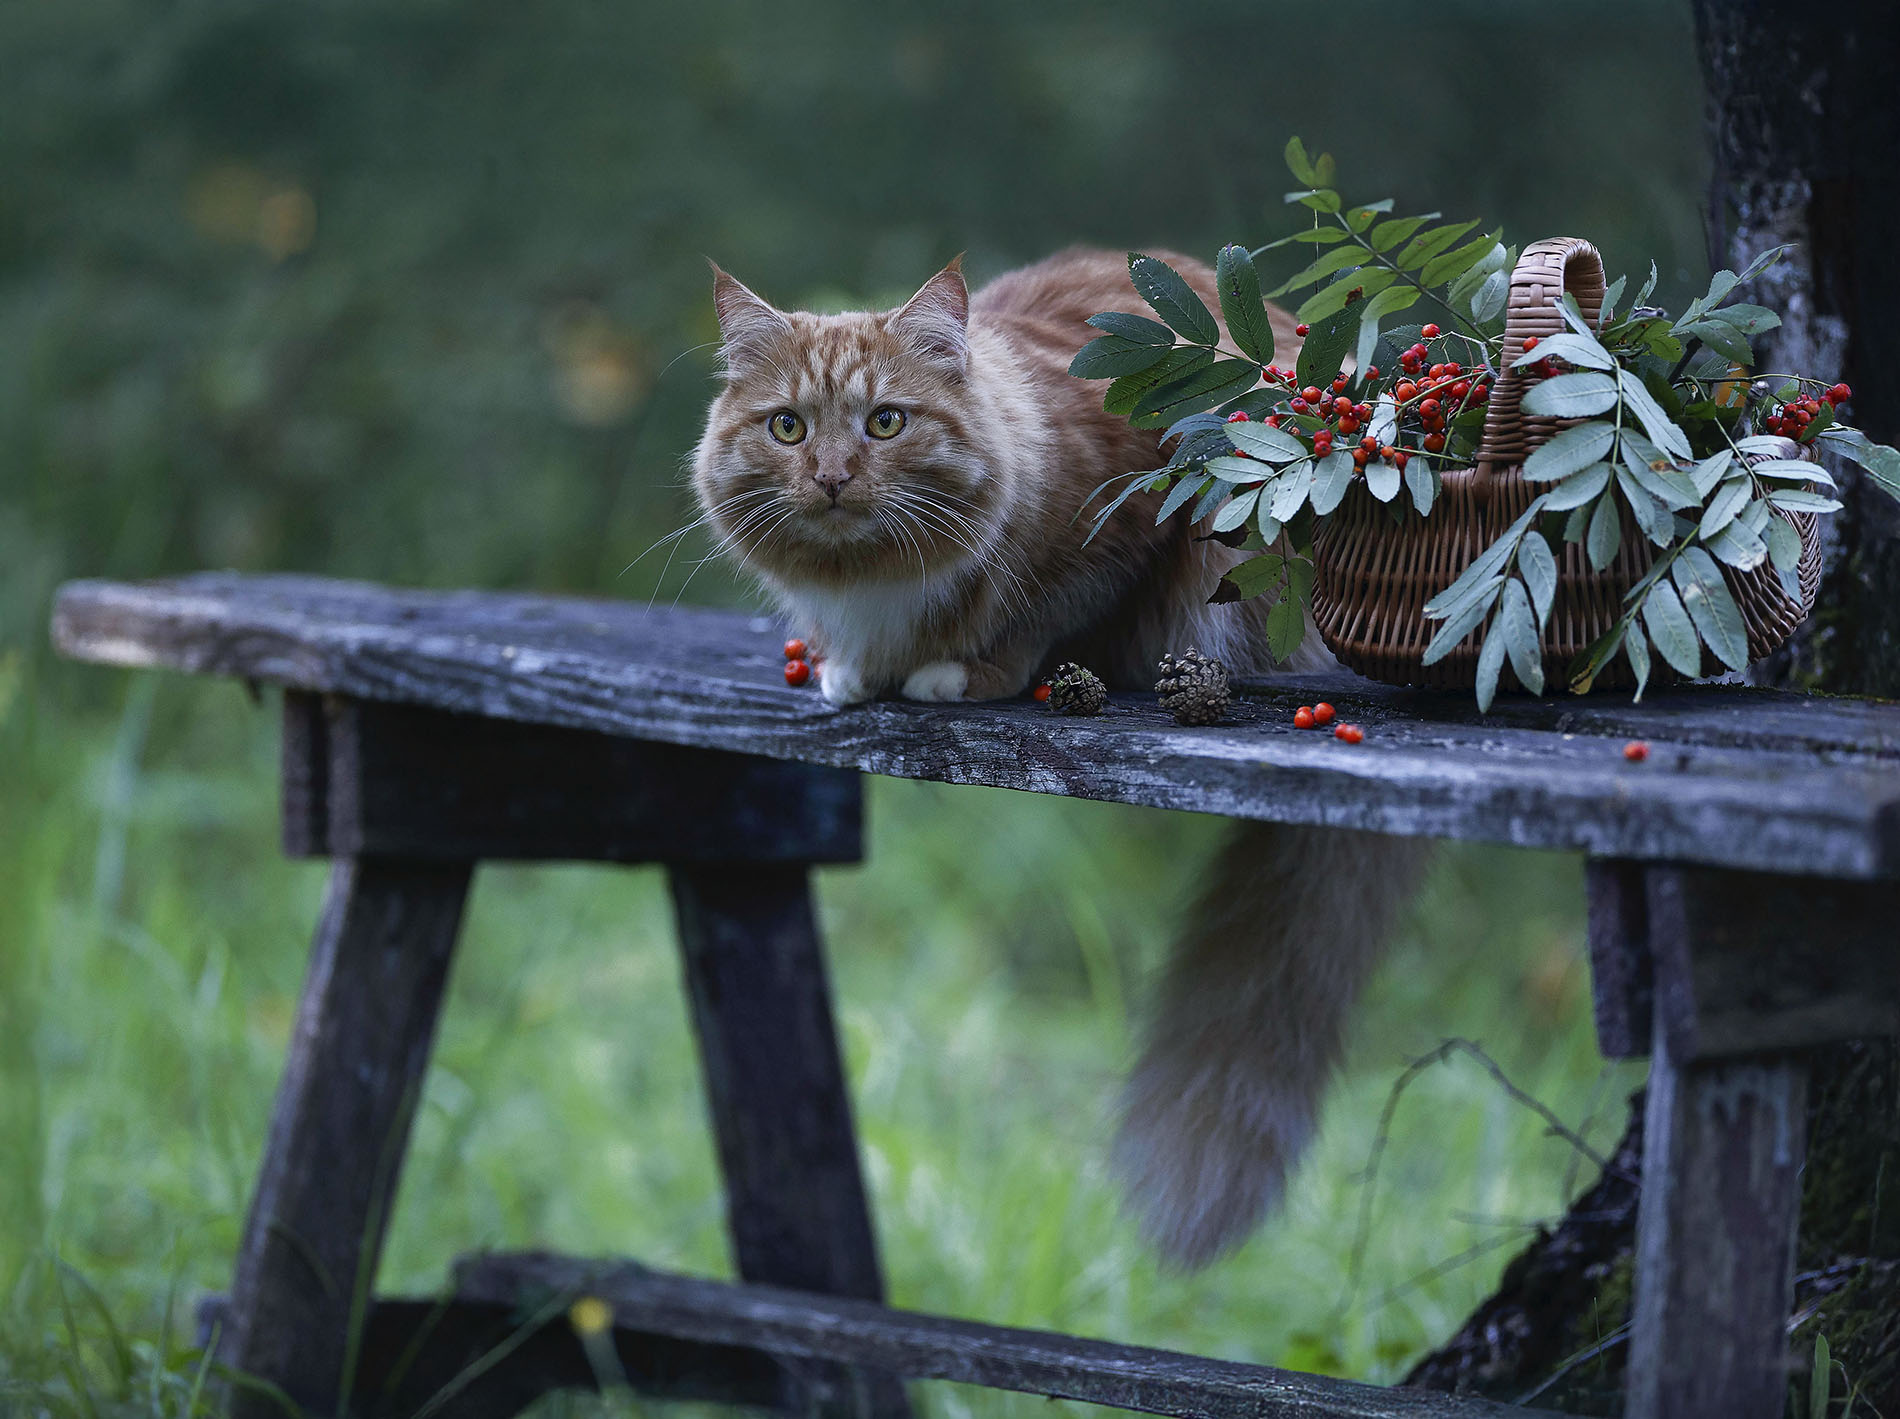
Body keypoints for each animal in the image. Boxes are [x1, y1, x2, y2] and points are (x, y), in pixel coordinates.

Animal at [695, 248, 1428, 1268]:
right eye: (788, 426)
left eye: (886, 421)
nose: (834, 477)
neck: (873, 579)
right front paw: (852, 670)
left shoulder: (1115, 531)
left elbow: (1030, 623)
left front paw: (959, 672)